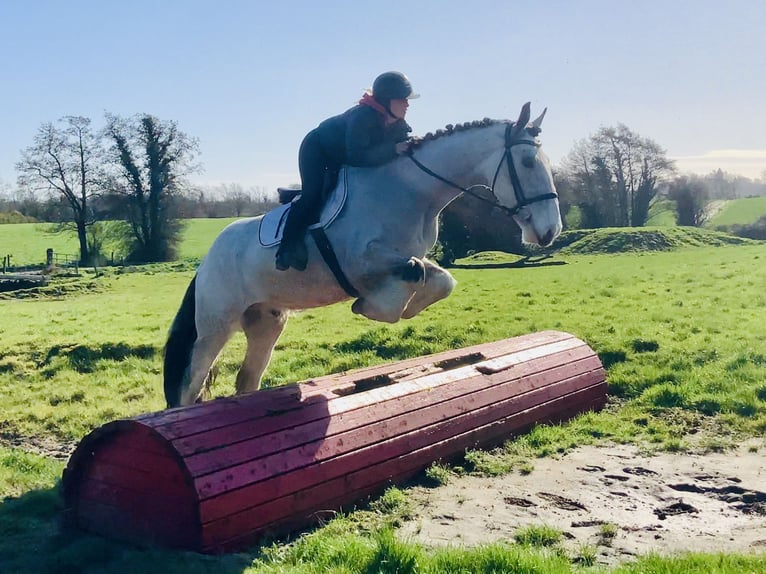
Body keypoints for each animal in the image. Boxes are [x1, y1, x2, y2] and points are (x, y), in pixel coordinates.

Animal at [163, 102, 562, 408]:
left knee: (247, 379)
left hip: (266, 322)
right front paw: (372, 307)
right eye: (528, 162)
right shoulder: (361, 261)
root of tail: (206, 263)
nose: (550, 231)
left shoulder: (410, 257)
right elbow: (408, 276)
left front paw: (403, 306)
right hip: (216, 325)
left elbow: (438, 277)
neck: (412, 191)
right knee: (190, 384)